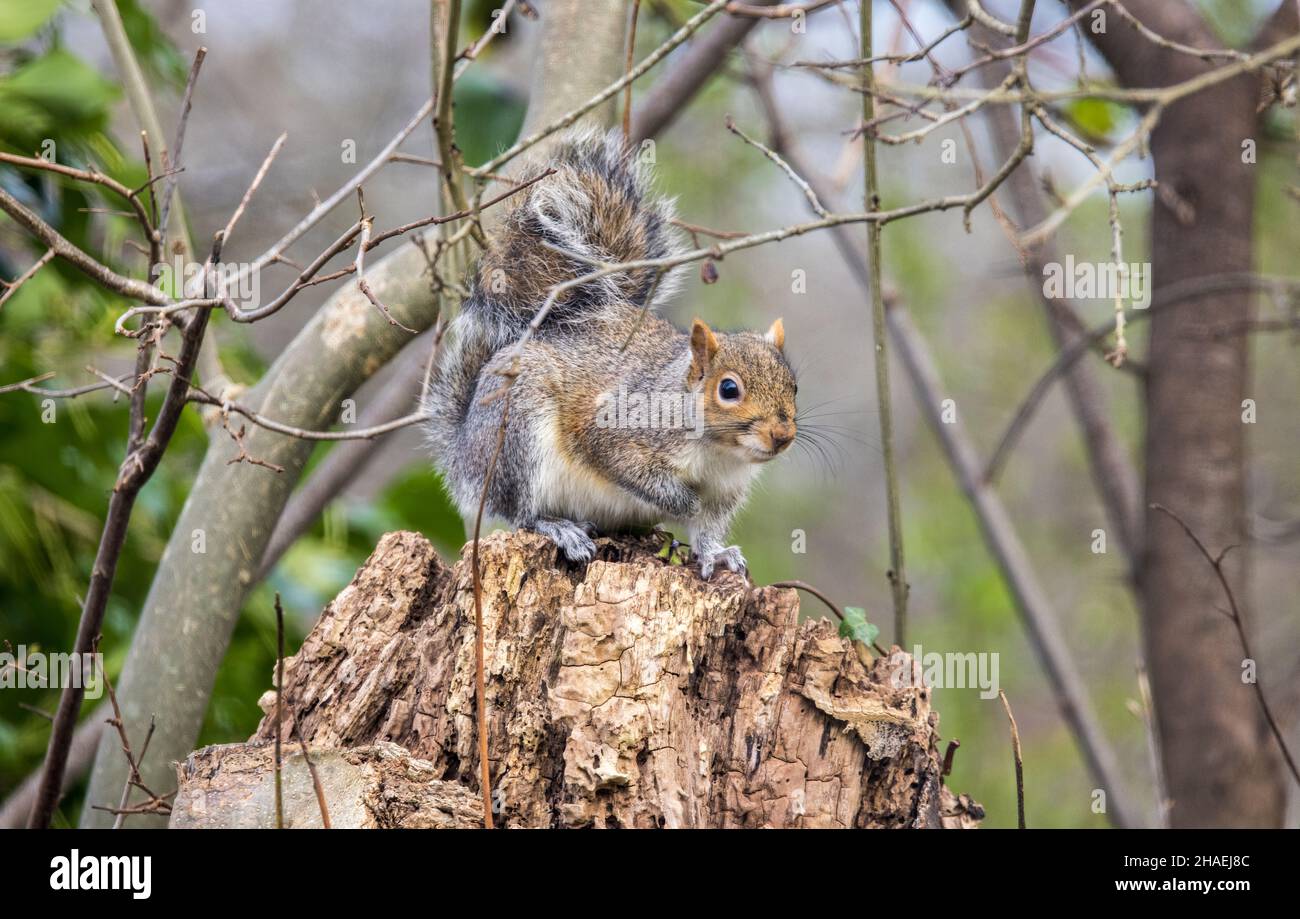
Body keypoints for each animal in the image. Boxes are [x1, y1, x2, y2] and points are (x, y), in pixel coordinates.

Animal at [421, 129, 795, 574]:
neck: (718, 452)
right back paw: (559, 528)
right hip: (517, 435)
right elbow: (631, 470)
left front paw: (716, 554)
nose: (782, 436)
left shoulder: (724, 491)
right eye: (728, 390)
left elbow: (706, 529)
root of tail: (465, 455)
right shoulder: (617, 430)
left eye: (794, 385)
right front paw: (682, 501)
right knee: (521, 513)